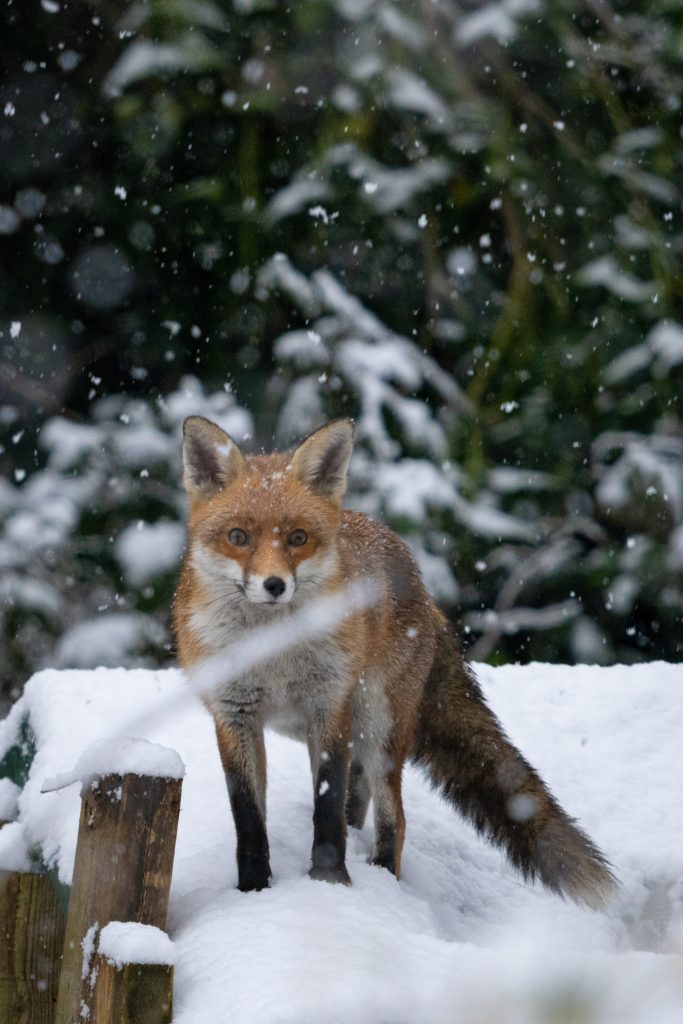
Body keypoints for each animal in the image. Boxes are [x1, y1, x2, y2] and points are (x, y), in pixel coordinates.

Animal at [174, 415, 618, 905]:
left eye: (297, 538)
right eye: (238, 537)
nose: (274, 585)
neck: (274, 653)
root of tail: (423, 589)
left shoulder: (329, 705)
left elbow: (326, 806)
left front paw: (330, 884)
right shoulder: (234, 715)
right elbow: (250, 819)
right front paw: (253, 893)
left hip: (379, 722)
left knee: (391, 816)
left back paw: (383, 881)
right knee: (358, 796)